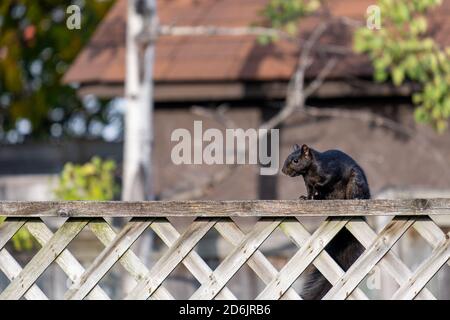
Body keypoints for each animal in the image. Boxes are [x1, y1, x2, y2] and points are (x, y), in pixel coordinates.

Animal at [282, 144, 370, 298]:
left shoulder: (331, 171)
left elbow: (324, 182)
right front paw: (307, 198)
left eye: (296, 161)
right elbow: (310, 191)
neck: (309, 171)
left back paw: (355, 198)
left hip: (355, 181)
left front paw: (317, 188)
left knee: (355, 193)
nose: (283, 170)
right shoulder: (307, 182)